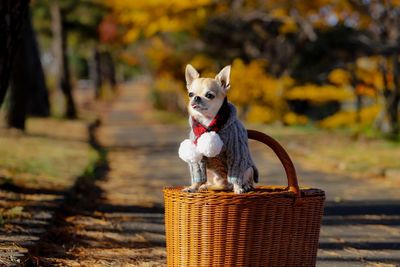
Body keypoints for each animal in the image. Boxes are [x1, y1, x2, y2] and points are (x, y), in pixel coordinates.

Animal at [179, 65, 260, 195]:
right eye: (190, 94)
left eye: (209, 95)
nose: (196, 98)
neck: (208, 122)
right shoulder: (197, 156)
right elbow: (198, 175)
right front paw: (193, 187)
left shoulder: (236, 152)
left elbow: (236, 175)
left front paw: (238, 188)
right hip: (212, 174)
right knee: (219, 185)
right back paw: (205, 186)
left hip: (248, 169)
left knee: (244, 180)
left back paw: (245, 186)